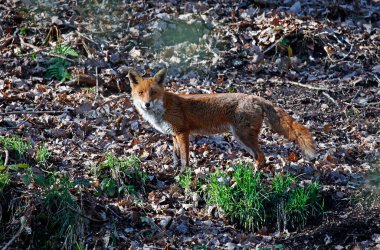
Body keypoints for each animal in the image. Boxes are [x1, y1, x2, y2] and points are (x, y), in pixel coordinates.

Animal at [127, 68, 314, 172]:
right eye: (141, 93)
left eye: (153, 92)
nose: (147, 104)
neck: (162, 109)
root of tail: (255, 97)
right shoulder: (173, 134)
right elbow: (176, 155)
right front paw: (174, 170)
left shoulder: (182, 133)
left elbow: (185, 158)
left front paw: (183, 174)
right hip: (242, 137)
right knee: (260, 157)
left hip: (242, 136)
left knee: (261, 156)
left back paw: (253, 176)